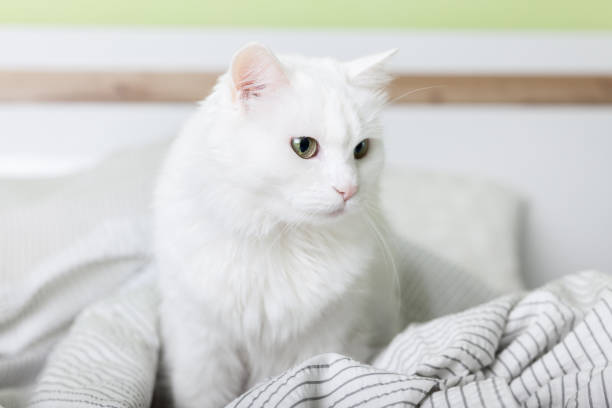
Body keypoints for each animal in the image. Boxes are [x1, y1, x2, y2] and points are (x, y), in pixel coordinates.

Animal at [153, 43, 402, 406]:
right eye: (304, 146)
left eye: (361, 149)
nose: (349, 190)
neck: (285, 241)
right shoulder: (202, 347)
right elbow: (204, 395)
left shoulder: (325, 340)